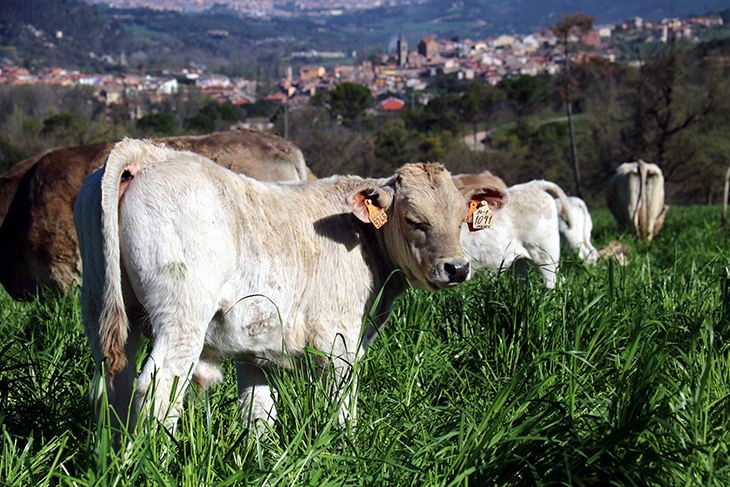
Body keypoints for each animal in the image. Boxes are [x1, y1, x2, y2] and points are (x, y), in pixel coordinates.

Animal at [75, 137, 506, 430]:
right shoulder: (338, 340)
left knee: (110, 388)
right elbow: (340, 409)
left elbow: (257, 414)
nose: (457, 268)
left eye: (460, 220)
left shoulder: (254, 344)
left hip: (104, 309)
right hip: (182, 315)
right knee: (158, 389)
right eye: (415, 220)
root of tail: (150, 152)